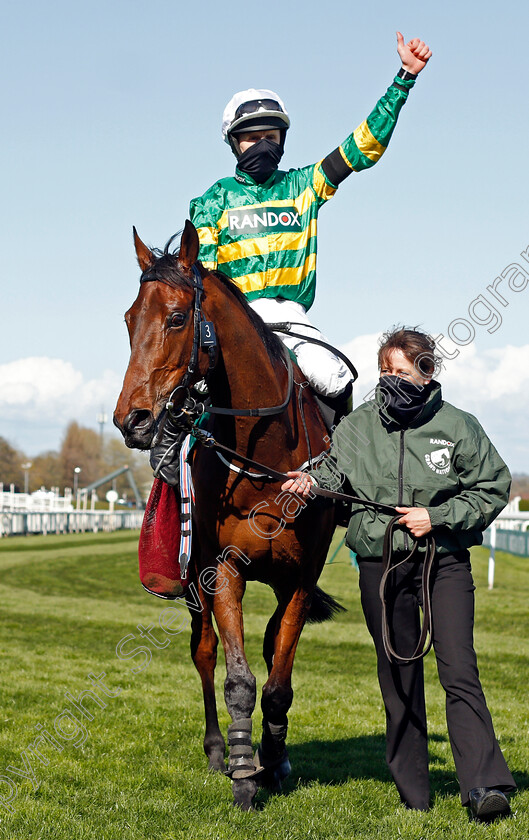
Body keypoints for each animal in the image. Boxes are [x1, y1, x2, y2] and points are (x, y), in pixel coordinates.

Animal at [114, 220, 340, 812]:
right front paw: (242, 770)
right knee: (205, 652)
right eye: (129, 319)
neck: (266, 459)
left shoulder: (301, 579)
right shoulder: (224, 569)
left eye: (175, 317)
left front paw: (275, 759)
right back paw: (219, 750)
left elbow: (278, 679)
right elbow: (237, 678)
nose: (131, 420)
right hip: (194, 577)